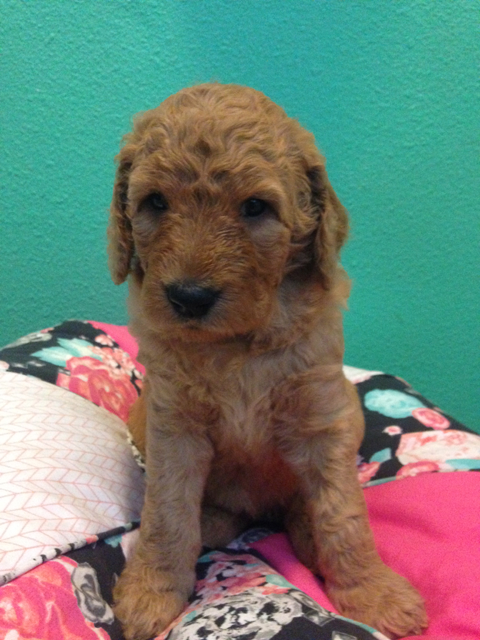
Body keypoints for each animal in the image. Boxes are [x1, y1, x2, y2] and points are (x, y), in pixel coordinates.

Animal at [107, 84, 426, 640]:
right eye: (155, 202)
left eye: (255, 208)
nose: (189, 297)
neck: (237, 346)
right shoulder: (173, 426)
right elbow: (166, 512)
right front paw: (153, 589)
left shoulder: (323, 418)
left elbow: (344, 515)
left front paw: (372, 592)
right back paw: (213, 524)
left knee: (303, 508)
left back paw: (307, 540)